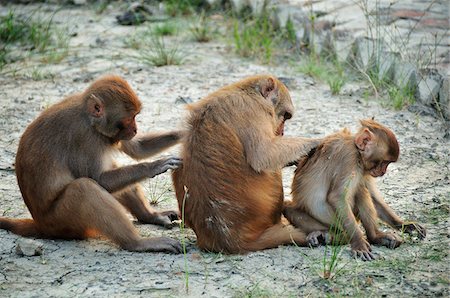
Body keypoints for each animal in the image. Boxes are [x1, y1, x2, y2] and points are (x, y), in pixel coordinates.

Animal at [0, 75, 184, 253]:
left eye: (136, 116)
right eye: (130, 117)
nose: (135, 129)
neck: (89, 119)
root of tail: (40, 224)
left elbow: (137, 149)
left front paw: (183, 132)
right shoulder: (83, 137)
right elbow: (98, 179)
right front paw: (155, 165)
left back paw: (150, 216)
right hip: (62, 222)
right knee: (84, 188)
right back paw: (137, 243)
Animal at [171, 73, 322, 253]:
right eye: (285, 116)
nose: (282, 132)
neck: (246, 92)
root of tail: (228, 241)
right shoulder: (252, 110)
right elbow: (262, 155)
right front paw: (314, 143)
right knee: (271, 170)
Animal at [284, 118, 428, 260]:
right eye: (384, 162)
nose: (383, 172)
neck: (357, 152)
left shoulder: (364, 169)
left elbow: (373, 197)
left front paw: (405, 225)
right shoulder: (349, 158)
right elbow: (337, 197)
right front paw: (359, 242)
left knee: (360, 190)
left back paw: (374, 236)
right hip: (334, 222)